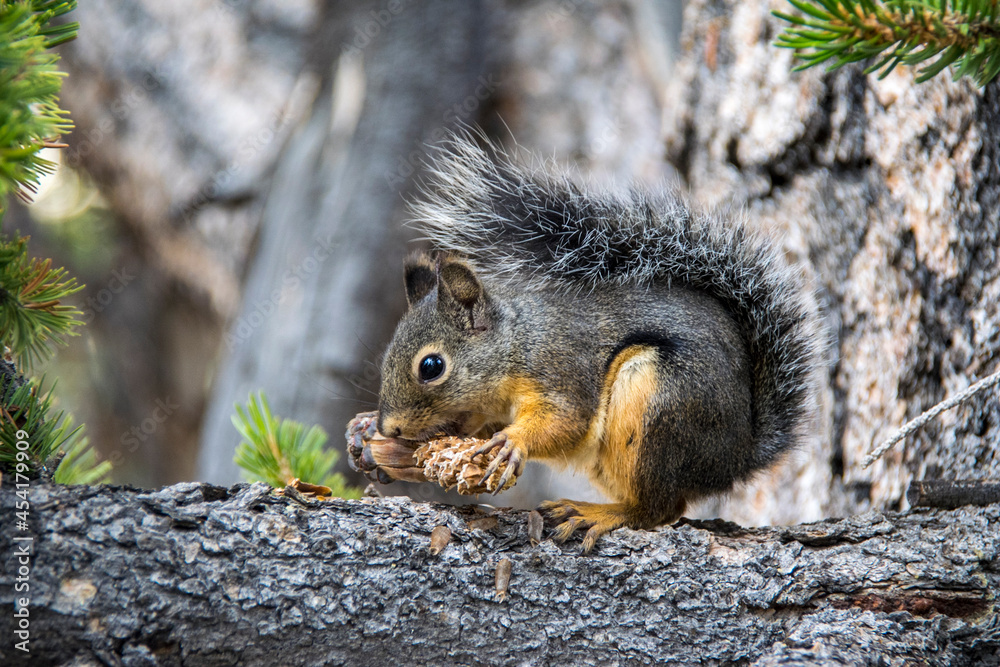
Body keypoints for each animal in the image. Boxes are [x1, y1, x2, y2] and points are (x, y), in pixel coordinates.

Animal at [375, 135, 821, 552]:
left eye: (431, 367)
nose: (388, 427)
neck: (517, 344)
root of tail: (735, 458)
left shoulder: (560, 367)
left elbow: (566, 421)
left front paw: (513, 441)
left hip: (659, 404)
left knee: (658, 508)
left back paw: (598, 514)